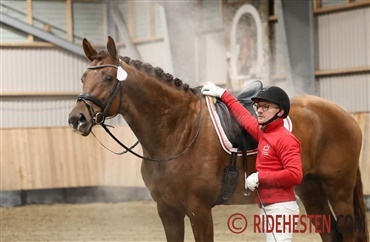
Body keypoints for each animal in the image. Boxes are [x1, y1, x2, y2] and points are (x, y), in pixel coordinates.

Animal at [68, 37, 368, 242]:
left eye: (109, 77)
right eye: (82, 77)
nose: (77, 119)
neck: (178, 130)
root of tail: (345, 115)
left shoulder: (199, 210)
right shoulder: (167, 210)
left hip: (338, 190)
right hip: (310, 189)